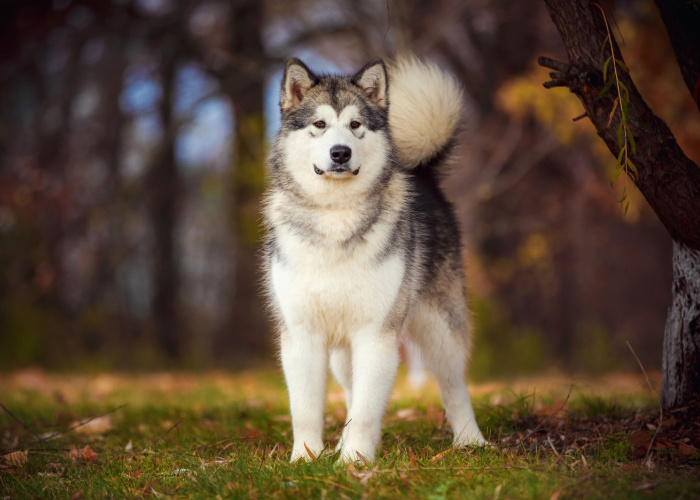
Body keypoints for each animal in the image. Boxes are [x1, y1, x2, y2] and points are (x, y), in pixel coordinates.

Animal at [262, 56, 486, 462]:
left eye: (355, 125)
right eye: (319, 124)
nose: (340, 152)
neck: (335, 216)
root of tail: (422, 173)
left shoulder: (377, 334)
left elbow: (367, 408)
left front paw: (354, 461)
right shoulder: (302, 335)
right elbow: (306, 409)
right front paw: (306, 458)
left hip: (440, 328)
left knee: (453, 387)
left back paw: (471, 440)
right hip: (342, 352)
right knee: (352, 390)